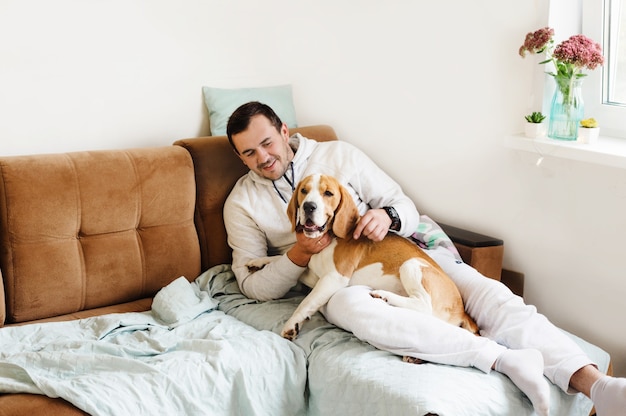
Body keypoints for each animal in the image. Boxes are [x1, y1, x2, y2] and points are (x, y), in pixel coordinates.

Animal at [246, 174, 476, 340]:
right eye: (304, 191)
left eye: (328, 193)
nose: (309, 206)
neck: (328, 238)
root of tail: (462, 310)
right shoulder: (310, 272)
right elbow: (279, 258)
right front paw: (258, 262)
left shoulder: (334, 278)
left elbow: (306, 302)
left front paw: (292, 324)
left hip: (411, 265)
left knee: (423, 306)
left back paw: (384, 296)